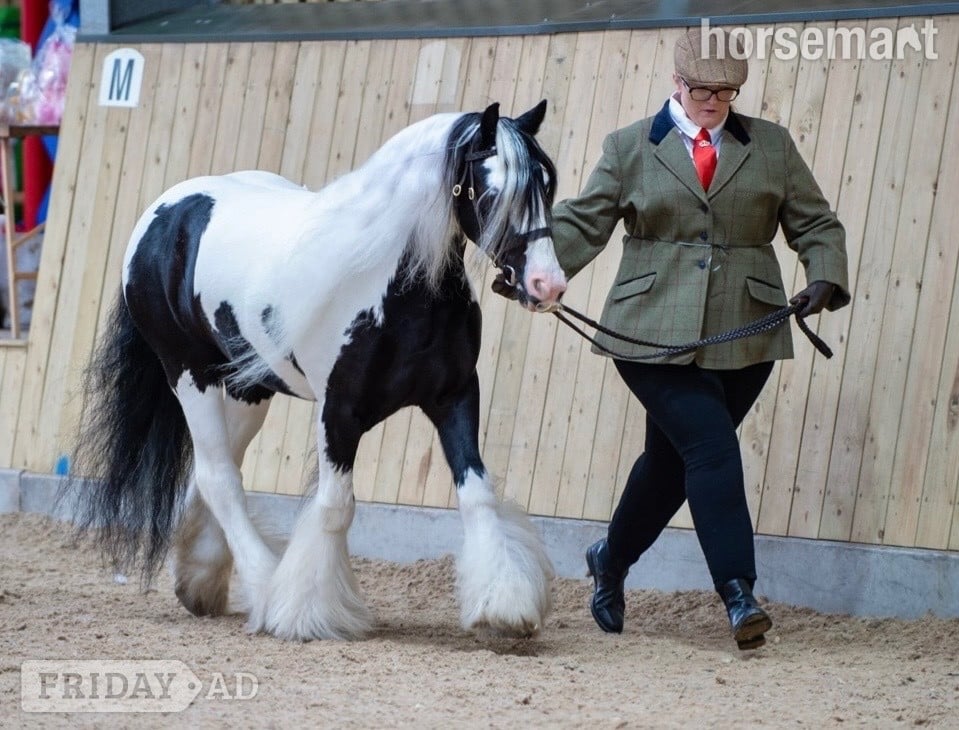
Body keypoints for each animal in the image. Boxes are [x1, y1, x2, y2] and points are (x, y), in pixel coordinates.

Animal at [68, 100, 567, 642]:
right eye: (493, 191)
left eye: (547, 183)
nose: (548, 285)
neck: (395, 285)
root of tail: (162, 214)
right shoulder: (339, 411)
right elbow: (335, 506)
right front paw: (307, 613)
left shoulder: (454, 396)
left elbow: (477, 494)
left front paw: (503, 607)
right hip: (188, 375)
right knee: (219, 476)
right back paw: (265, 587)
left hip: (247, 388)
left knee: (216, 471)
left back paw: (200, 579)